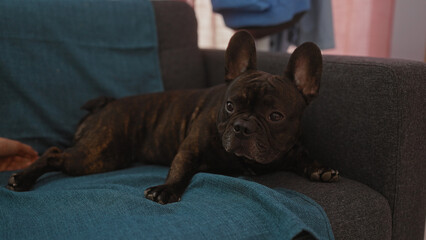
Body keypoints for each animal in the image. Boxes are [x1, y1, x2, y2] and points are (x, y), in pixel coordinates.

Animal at [6, 31, 338, 203]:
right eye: (230, 106)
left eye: (275, 115)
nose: (242, 127)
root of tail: (106, 105)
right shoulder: (190, 149)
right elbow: (181, 170)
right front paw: (166, 189)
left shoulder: (289, 147)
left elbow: (303, 156)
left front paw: (320, 169)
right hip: (96, 156)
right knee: (53, 153)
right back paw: (22, 178)